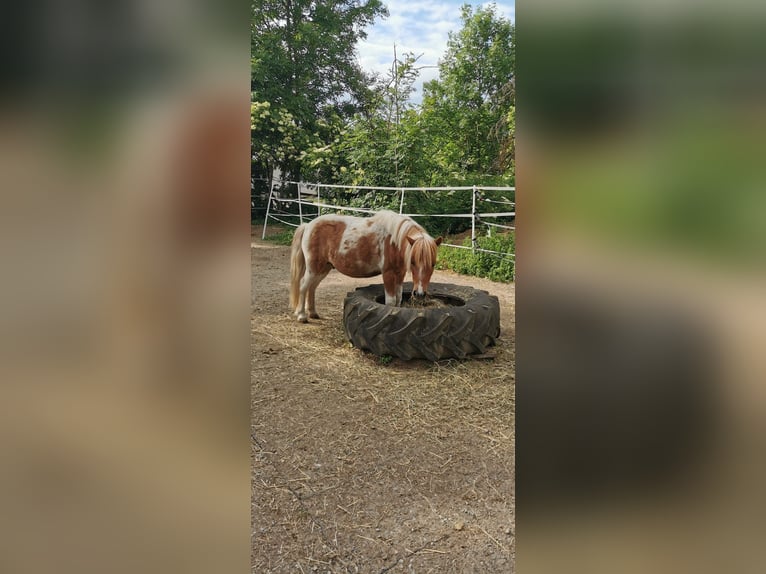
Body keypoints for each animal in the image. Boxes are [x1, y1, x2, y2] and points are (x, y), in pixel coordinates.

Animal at [288, 210, 444, 324]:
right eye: (413, 262)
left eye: (433, 264)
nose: (420, 294)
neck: (394, 241)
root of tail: (308, 225)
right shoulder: (388, 274)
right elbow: (390, 301)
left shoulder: (399, 274)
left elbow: (398, 299)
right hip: (313, 268)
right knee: (303, 286)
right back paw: (302, 316)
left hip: (322, 269)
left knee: (312, 288)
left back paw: (313, 313)